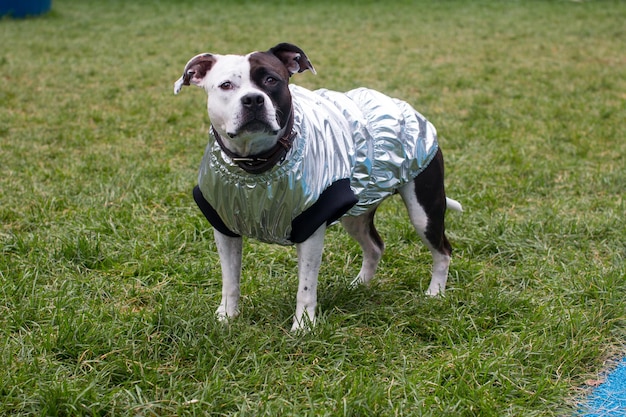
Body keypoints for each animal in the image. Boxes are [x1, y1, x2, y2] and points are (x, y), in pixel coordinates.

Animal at [173, 44, 460, 330]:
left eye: (271, 80)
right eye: (226, 85)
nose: (253, 99)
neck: (256, 167)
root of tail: (403, 106)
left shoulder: (310, 228)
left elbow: (306, 288)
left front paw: (303, 327)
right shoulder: (224, 228)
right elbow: (230, 280)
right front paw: (226, 317)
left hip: (424, 211)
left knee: (443, 252)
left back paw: (435, 293)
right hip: (357, 212)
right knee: (375, 247)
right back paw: (359, 285)